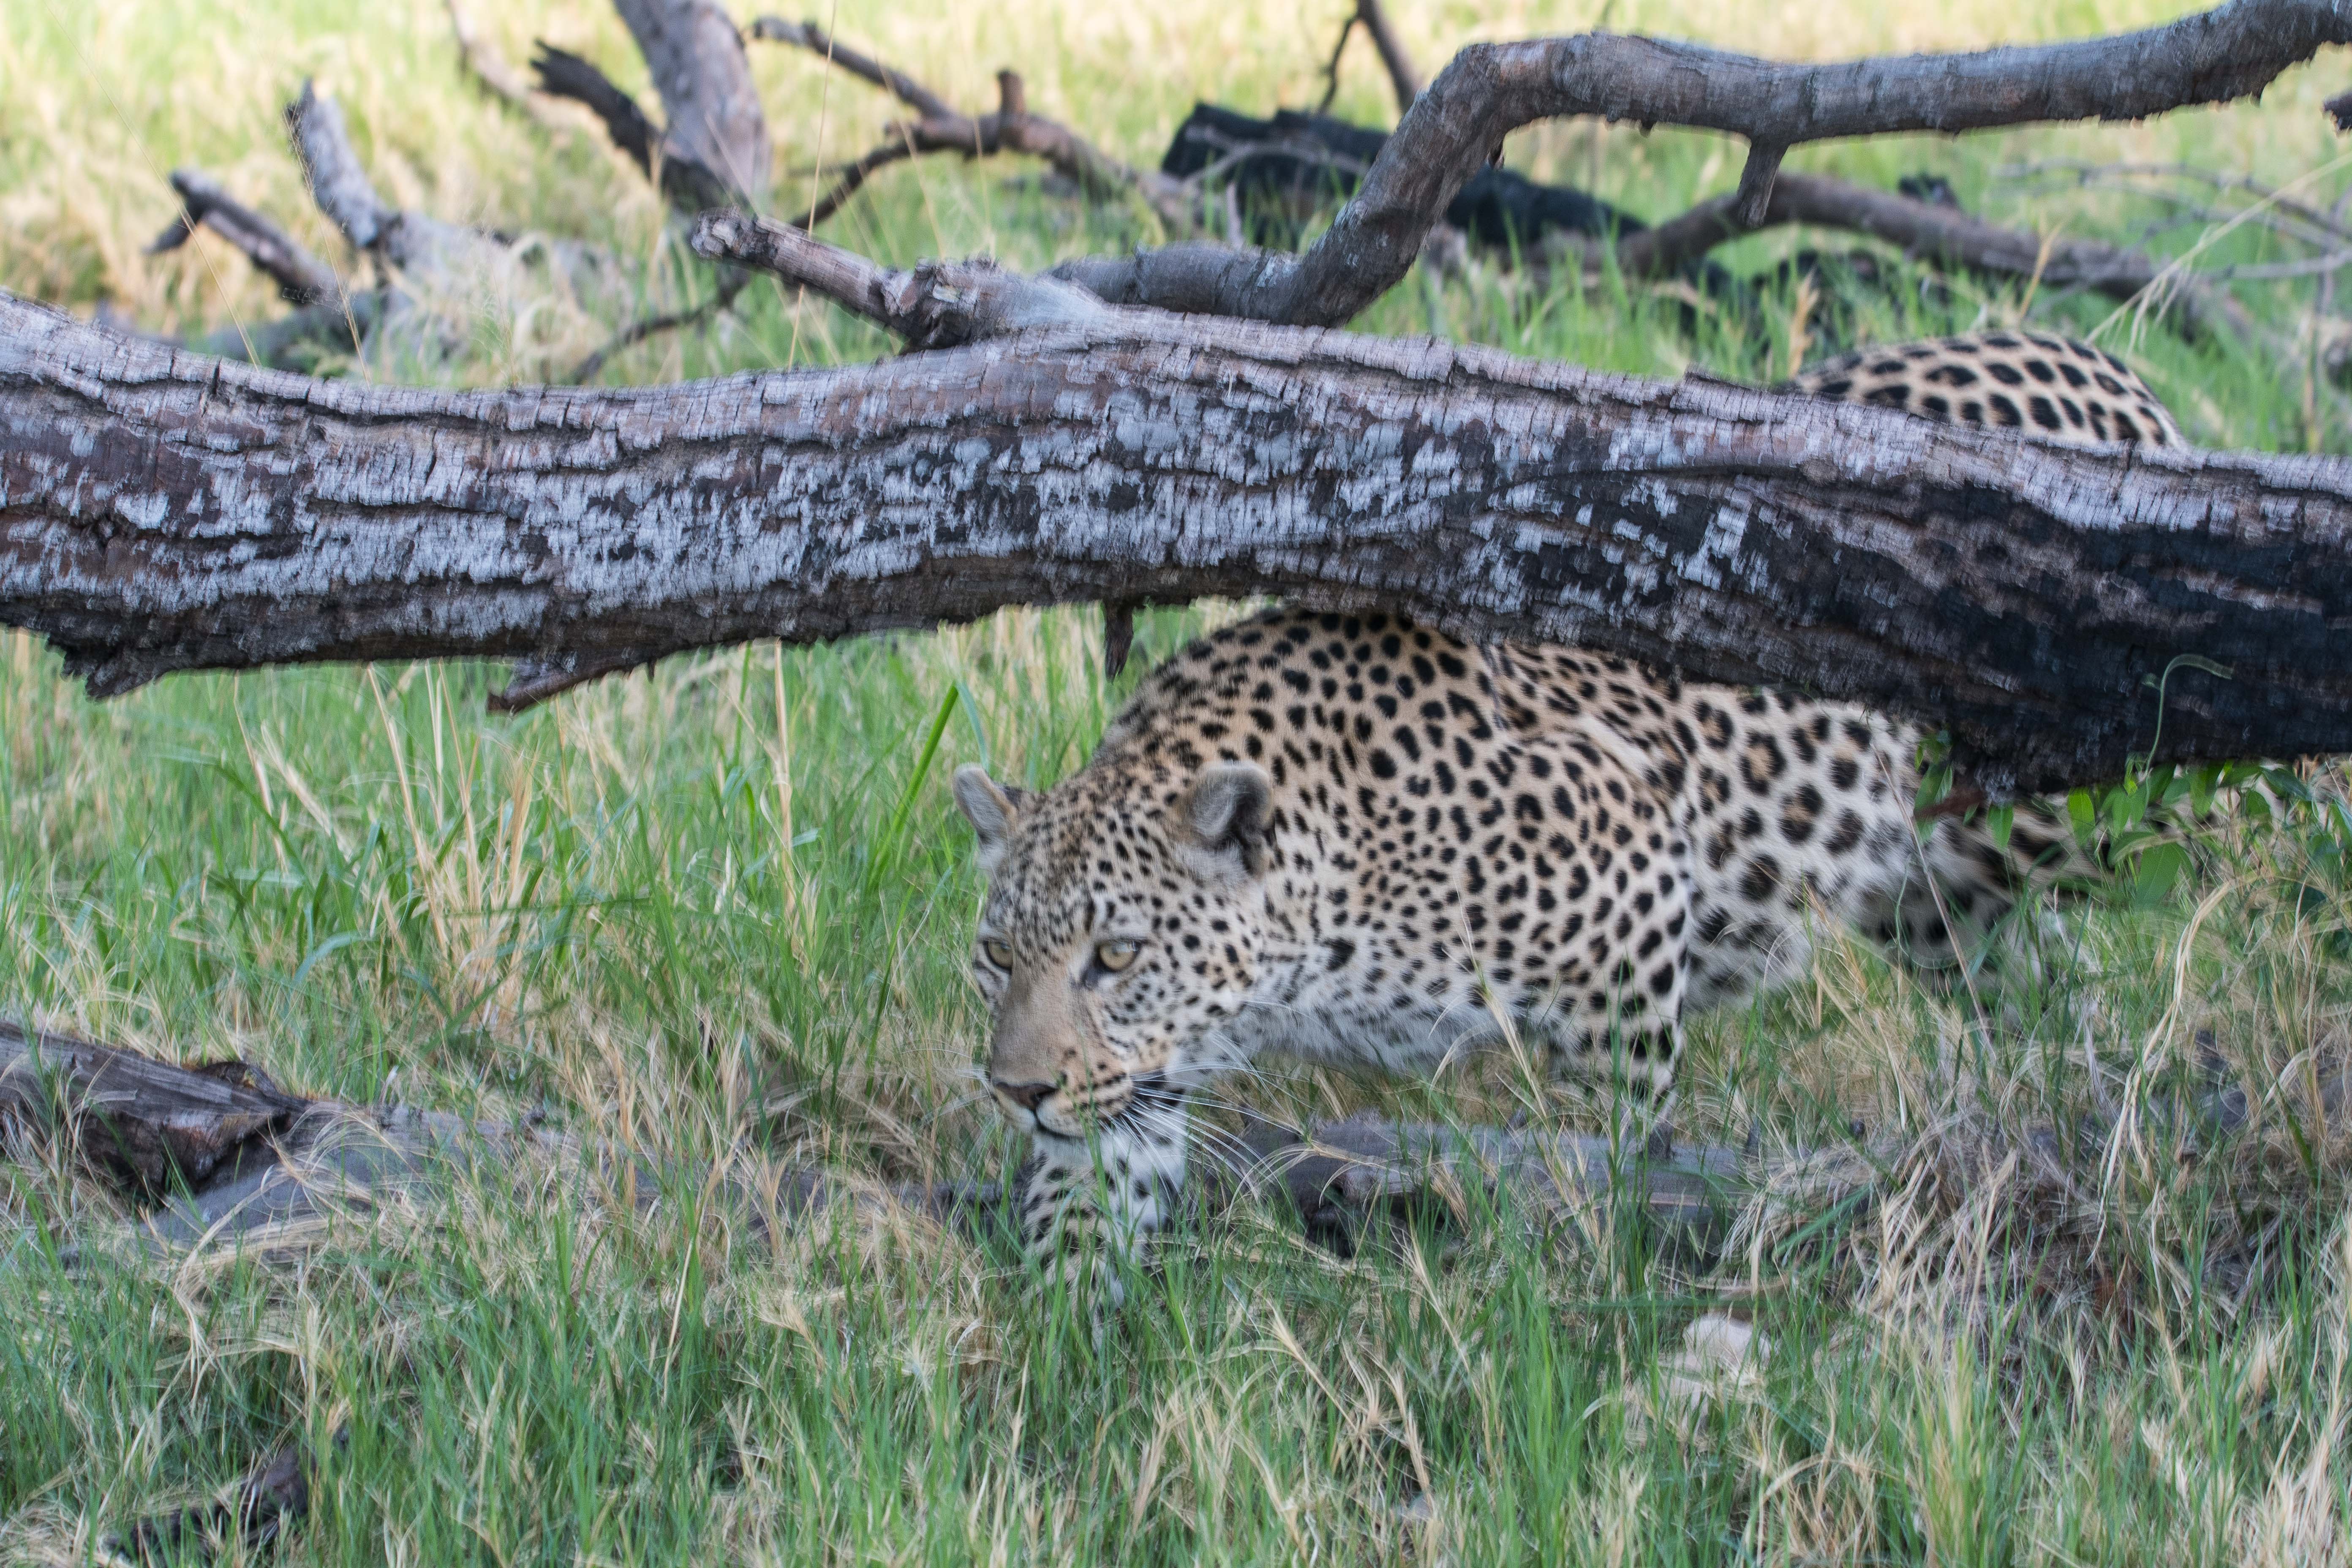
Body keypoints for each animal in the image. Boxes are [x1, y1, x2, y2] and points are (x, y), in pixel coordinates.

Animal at [955, 329, 2183, 1288]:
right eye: (996, 955)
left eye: (1115, 956)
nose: (1015, 1091)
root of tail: (2090, 358)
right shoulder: (1137, 1083)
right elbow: (1083, 1201)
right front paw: (1062, 1357)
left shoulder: (1629, 895)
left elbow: (1613, 1138)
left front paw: (1596, 1281)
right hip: (1936, 900)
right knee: (2034, 980)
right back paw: (2067, 1103)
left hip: (2085, 809)